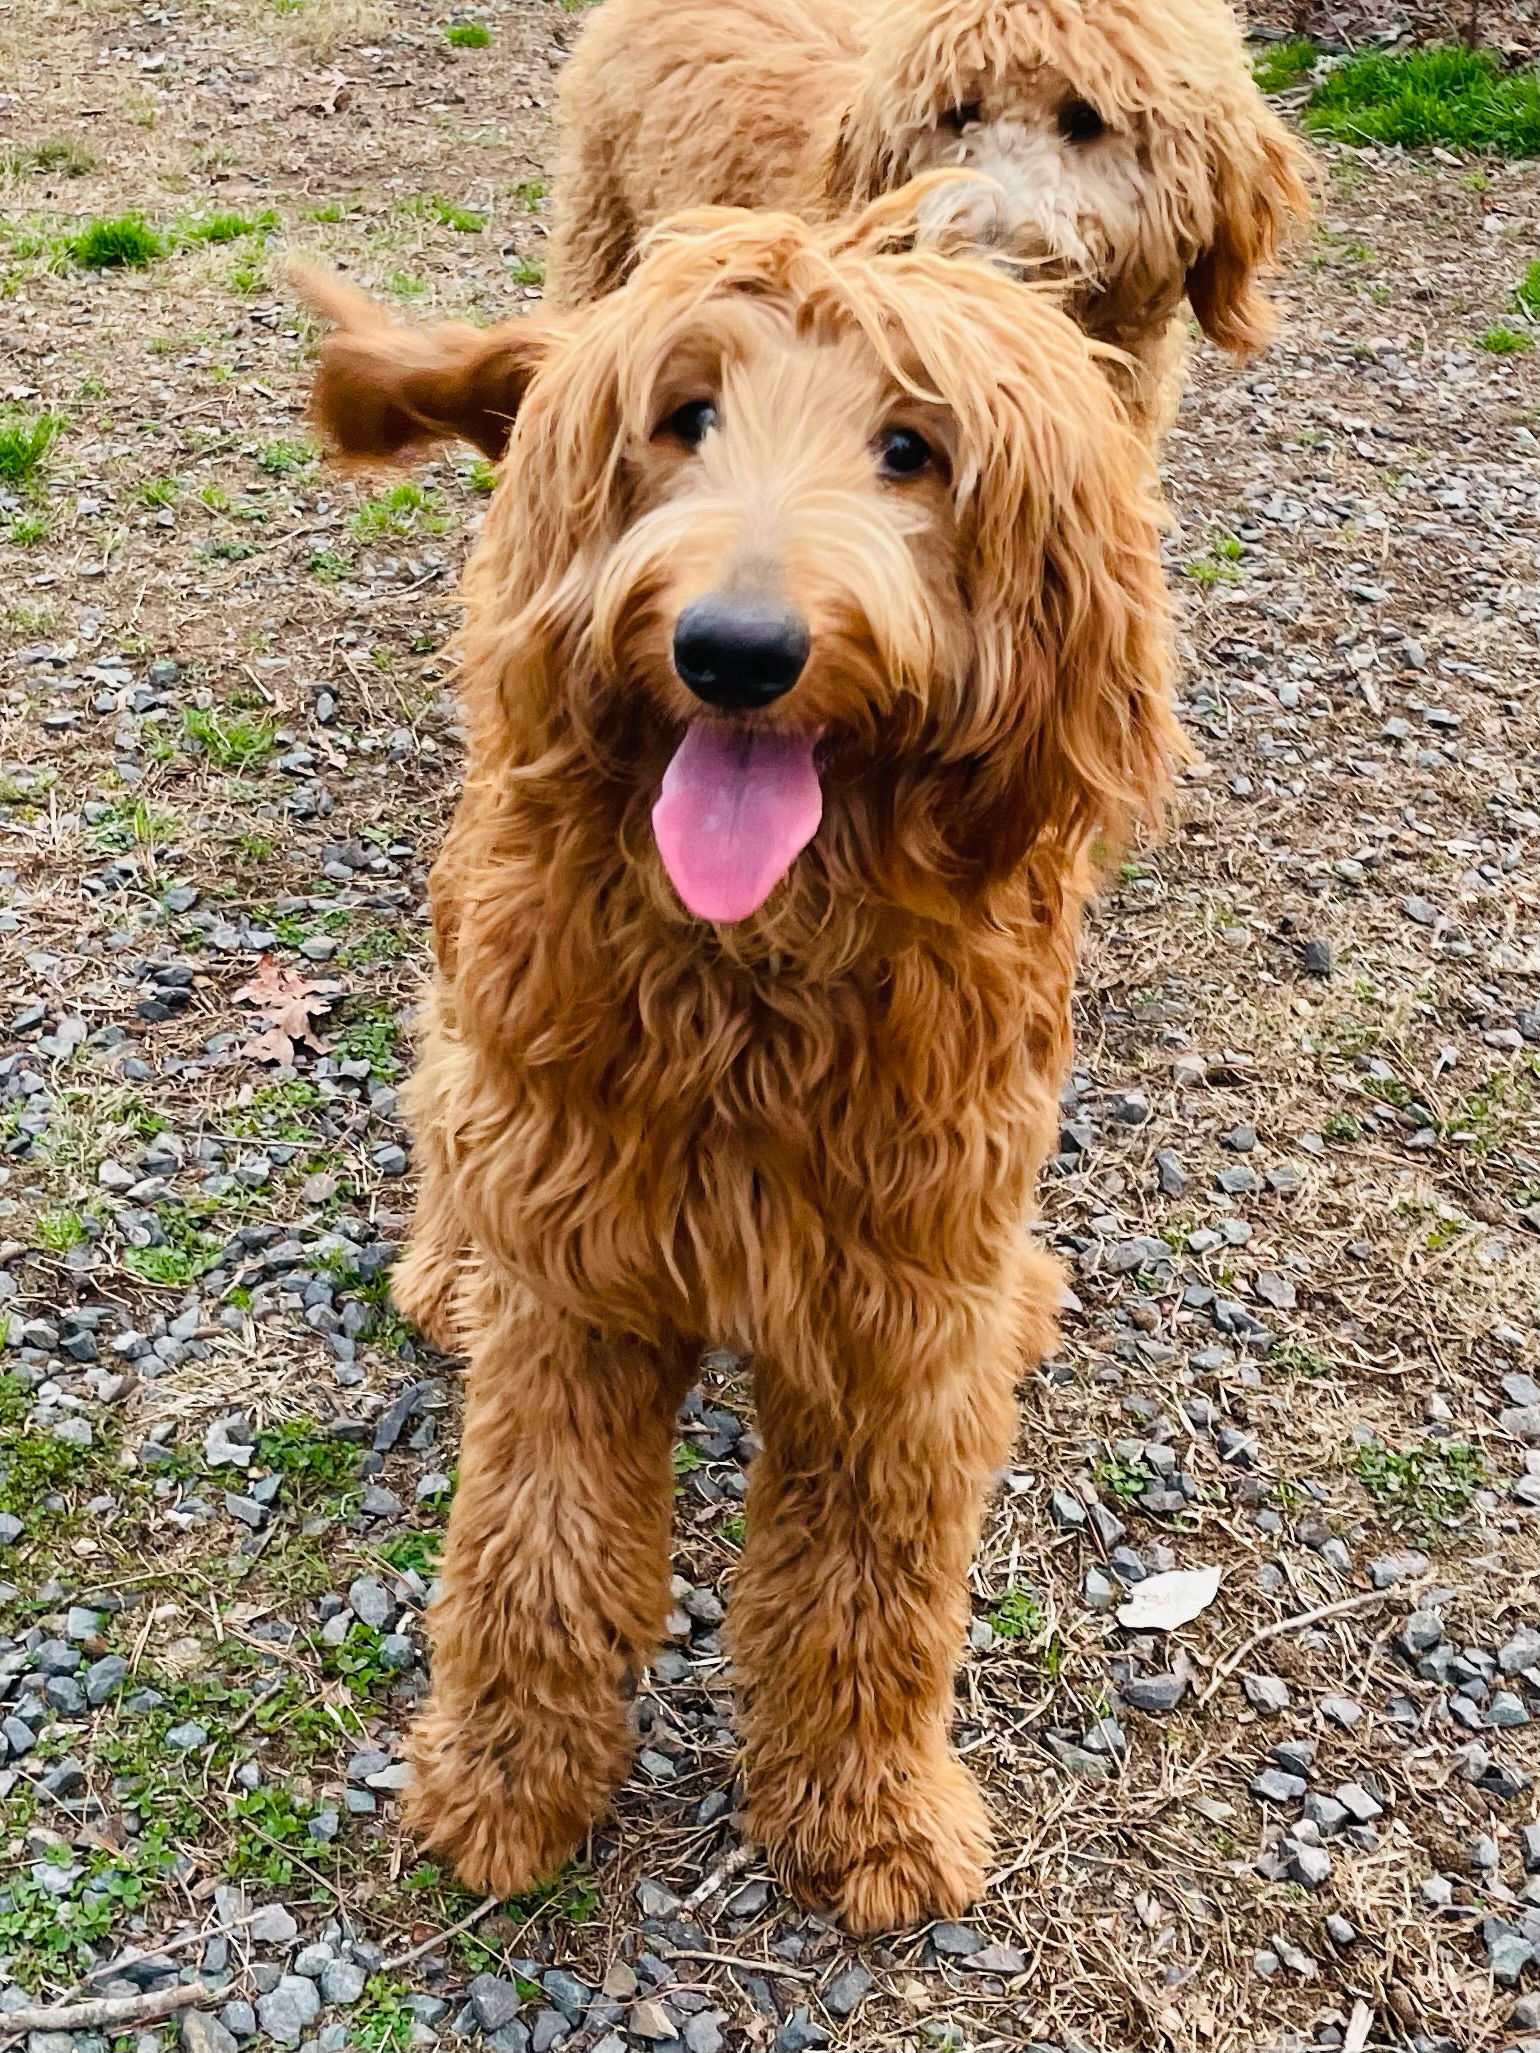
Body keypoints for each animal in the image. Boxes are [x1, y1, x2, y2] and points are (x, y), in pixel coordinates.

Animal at [297, 184, 1182, 1929]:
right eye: (685, 418)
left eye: (914, 448)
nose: (735, 649)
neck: (757, 971)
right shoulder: (584, 1265)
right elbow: (534, 1543)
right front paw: (505, 1788)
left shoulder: (901, 1297)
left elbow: (877, 1584)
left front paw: (874, 1810)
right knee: (442, 1087)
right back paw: (449, 1262)